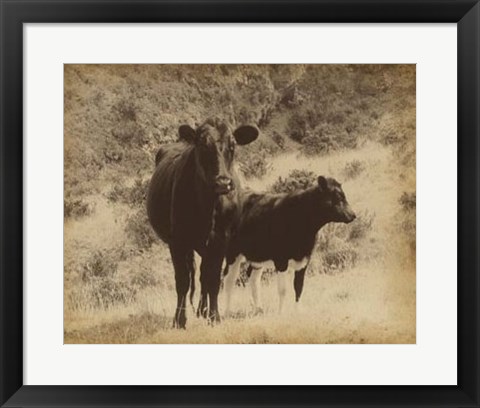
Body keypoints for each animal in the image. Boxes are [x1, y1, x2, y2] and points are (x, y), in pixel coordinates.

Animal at [146, 118, 258, 328]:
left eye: (232, 145)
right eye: (203, 146)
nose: (223, 182)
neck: (208, 205)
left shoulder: (220, 239)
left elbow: (212, 279)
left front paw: (214, 317)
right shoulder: (177, 241)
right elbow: (182, 281)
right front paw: (179, 320)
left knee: (204, 276)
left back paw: (203, 310)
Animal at [223, 175, 354, 312]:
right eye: (337, 197)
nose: (353, 215)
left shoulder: (304, 259)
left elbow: (299, 287)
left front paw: (297, 311)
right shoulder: (281, 260)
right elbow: (283, 290)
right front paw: (281, 312)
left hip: (257, 256)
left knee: (253, 278)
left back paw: (258, 308)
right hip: (232, 253)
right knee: (228, 280)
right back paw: (227, 311)